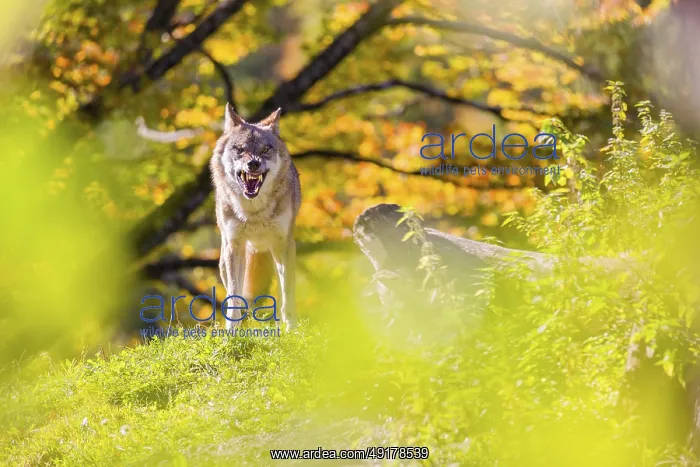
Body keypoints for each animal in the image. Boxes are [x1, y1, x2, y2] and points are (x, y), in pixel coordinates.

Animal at [210, 104, 301, 329]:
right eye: (240, 149)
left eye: (265, 150)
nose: (253, 164)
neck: (254, 214)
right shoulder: (234, 246)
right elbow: (234, 298)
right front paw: (231, 333)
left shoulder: (285, 244)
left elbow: (288, 294)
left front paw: (291, 330)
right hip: (226, 258)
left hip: (277, 254)